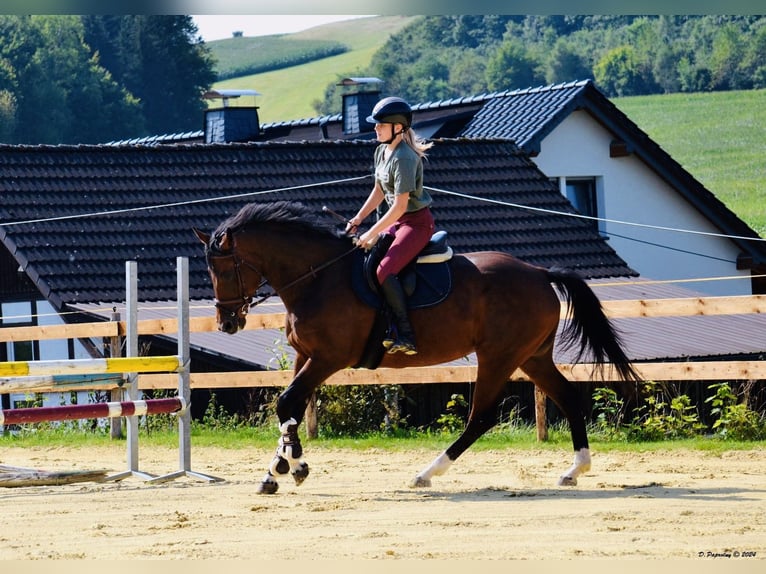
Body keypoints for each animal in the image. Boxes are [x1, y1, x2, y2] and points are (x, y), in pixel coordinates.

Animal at [194, 201, 640, 496]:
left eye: (224, 268)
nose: (227, 323)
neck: (317, 277)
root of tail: (539, 272)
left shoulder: (328, 359)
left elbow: (286, 403)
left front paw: (291, 466)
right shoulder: (306, 356)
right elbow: (290, 408)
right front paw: (280, 467)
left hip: (499, 356)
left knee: (481, 417)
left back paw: (427, 473)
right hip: (532, 357)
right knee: (565, 396)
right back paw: (575, 469)